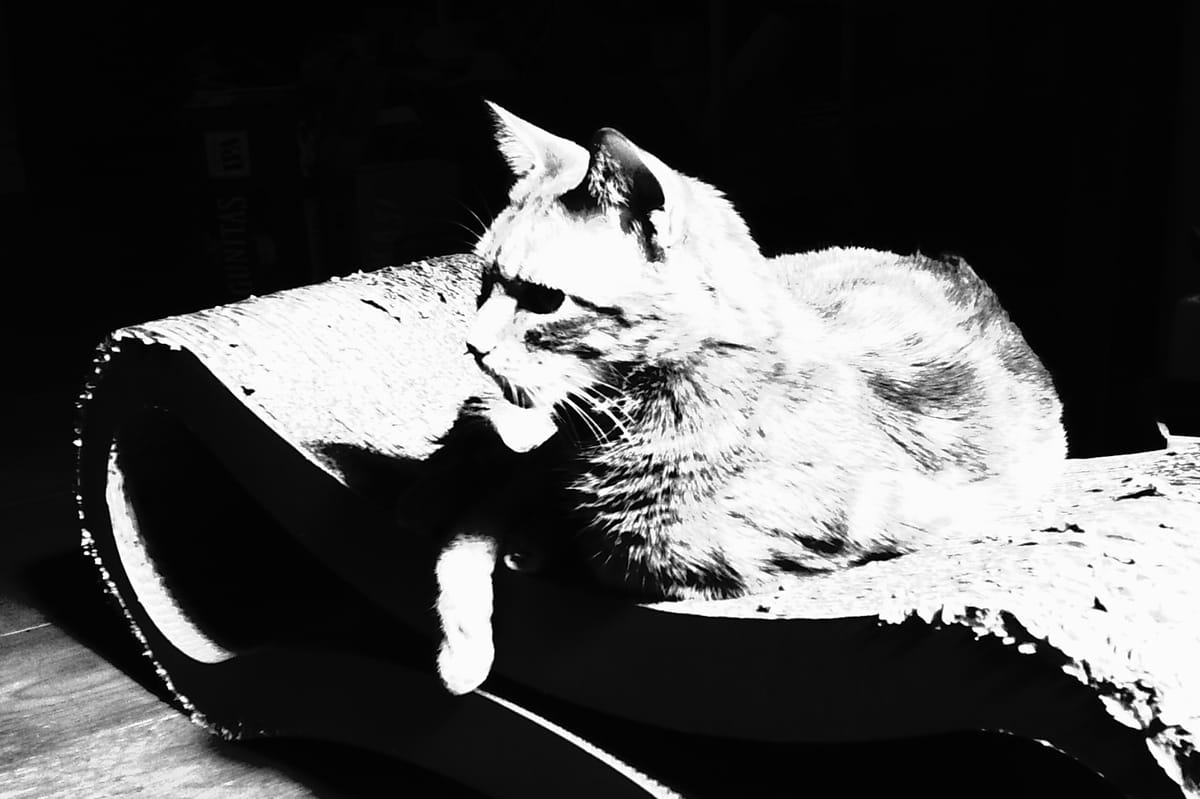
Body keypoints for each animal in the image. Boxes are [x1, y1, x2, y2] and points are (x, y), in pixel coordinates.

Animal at [408, 101, 1065, 691]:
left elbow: (593, 546)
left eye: (544, 300)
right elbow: (470, 532)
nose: (472, 345)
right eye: (483, 283)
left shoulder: (687, 563)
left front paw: (530, 545)